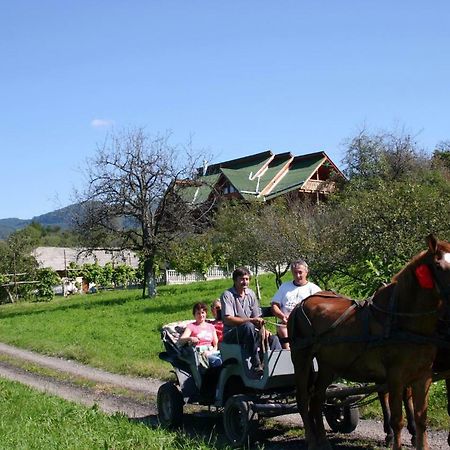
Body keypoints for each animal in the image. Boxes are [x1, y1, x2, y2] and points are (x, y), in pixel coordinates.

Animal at [288, 236, 450, 450]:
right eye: (439, 267)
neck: (400, 319)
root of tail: (300, 304)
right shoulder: (395, 376)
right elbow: (397, 420)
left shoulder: (423, 375)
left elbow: (422, 418)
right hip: (301, 357)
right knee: (303, 399)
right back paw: (312, 440)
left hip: (328, 365)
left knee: (317, 398)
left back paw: (323, 440)